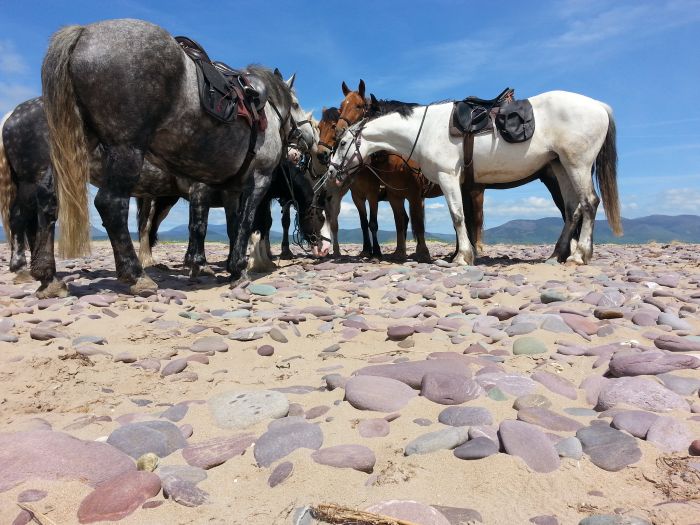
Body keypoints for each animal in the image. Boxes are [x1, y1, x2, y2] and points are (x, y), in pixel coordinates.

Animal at [41, 18, 314, 296]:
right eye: (295, 104)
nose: (310, 139)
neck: (266, 110)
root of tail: (84, 33)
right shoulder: (257, 180)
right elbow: (244, 223)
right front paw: (237, 269)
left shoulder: (230, 189)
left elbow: (232, 226)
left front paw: (229, 266)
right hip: (127, 150)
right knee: (111, 205)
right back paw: (136, 275)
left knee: (49, 210)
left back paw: (48, 279)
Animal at [326, 89, 620, 266]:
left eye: (343, 144)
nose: (331, 170)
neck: (424, 129)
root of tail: (599, 106)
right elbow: (461, 219)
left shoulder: (447, 178)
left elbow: (457, 217)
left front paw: (462, 257)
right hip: (561, 168)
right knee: (572, 209)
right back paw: (557, 254)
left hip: (576, 164)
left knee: (589, 203)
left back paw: (579, 255)